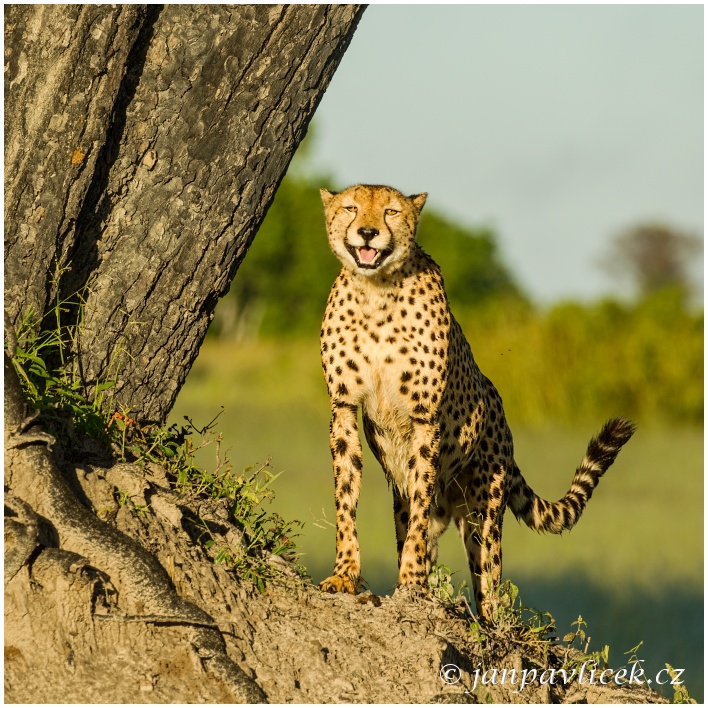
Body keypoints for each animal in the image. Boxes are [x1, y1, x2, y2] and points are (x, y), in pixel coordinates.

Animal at [316, 184, 636, 620]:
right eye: (350, 208)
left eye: (391, 212)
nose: (367, 232)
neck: (376, 291)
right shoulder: (344, 407)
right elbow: (345, 498)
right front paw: (345, 574)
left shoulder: (424, 418)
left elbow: (419, 513)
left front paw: (411, 584)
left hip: (484, 510)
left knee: (489, 585)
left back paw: (483, 615)